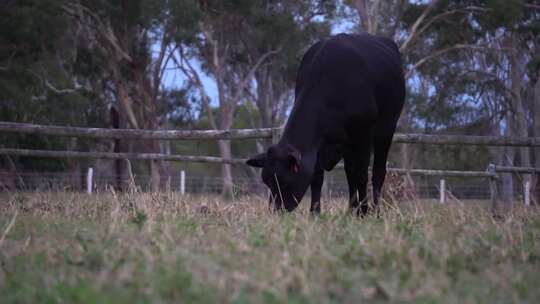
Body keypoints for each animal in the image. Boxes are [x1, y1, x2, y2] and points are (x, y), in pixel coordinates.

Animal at [247, 33, 402, 216]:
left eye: (284, 182)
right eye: (267, 182)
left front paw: (364, 212)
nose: (276, 211)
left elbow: (362, 175)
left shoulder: (363, 135)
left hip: (386, 130)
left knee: (377, 172)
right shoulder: (319, 144)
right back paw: (351, 209)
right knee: (350, 174)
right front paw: (315, 212)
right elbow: (317, 178)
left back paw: (374, 211)